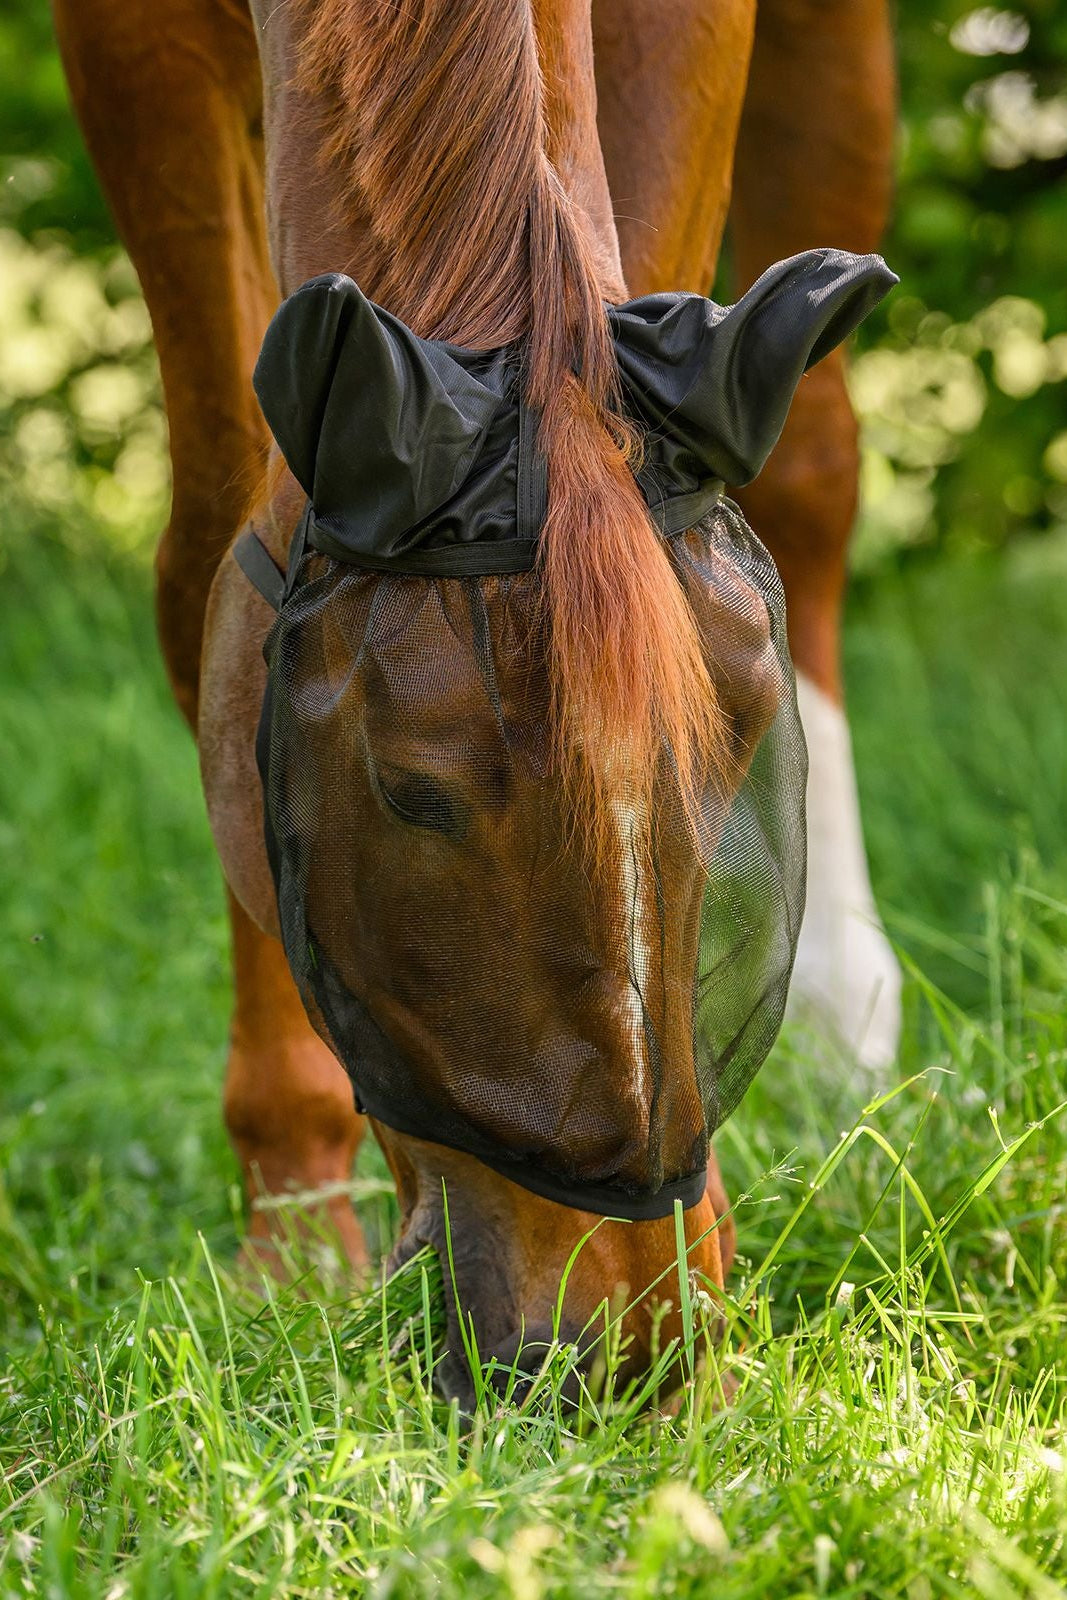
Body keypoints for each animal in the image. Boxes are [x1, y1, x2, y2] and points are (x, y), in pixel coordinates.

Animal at [53, 0, 897, 1403]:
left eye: (735, 765)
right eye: (411, 797)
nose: (624, 1349)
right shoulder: (130, 51)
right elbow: (206, 547)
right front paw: (292, 1228)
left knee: (818, 467)